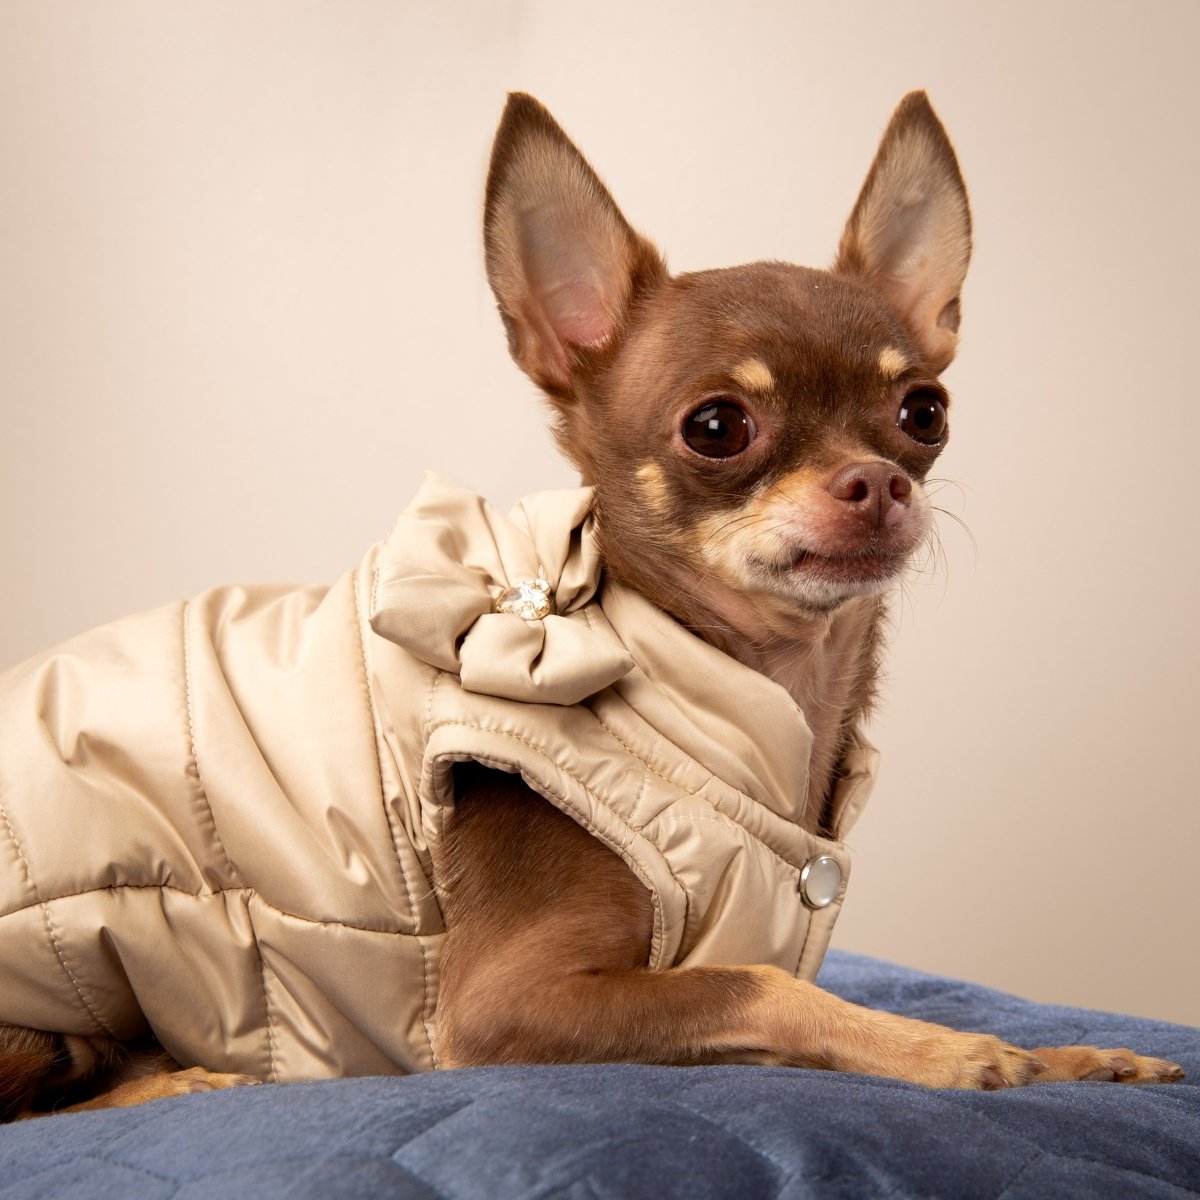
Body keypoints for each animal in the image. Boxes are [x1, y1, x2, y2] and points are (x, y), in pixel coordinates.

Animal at [0, 91, 1180, 1113]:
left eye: (923, 412)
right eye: (717, 427)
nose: (879, 481)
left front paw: (1071, 1057)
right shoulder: (499, 1005)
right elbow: (766, 988)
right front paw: (946, 1050)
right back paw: (180, 1080)